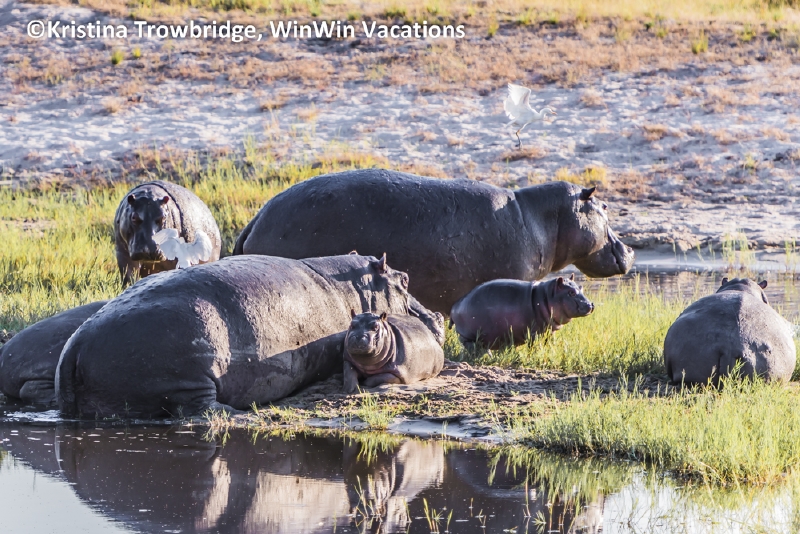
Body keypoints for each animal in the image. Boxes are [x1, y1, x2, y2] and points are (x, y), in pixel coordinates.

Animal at [56, 254, 442, 419]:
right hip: (190, 374)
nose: (438, 316)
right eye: (405, 279)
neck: (350, 288)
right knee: (198, 409)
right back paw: (242, 412)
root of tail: (76, 346)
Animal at [450, 275, 594, 348]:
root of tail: (454, 307)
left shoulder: (549, 331)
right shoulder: (535, 332)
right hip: (469, 335)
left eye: (581, 287)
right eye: (571, 292)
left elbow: (549, 342)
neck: (547, 296)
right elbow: (535, 345)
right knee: (471, 345)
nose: (590, 305)